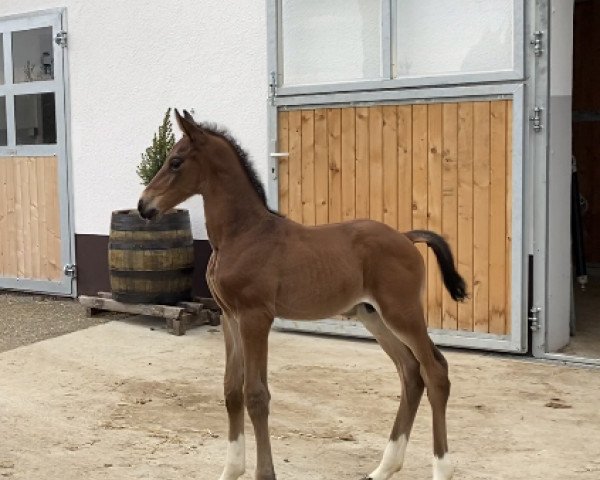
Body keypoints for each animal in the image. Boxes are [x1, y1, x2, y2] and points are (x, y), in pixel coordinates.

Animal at [138, 109, 466, 480]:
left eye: (176, 161)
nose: (143, 206)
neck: (243, 234)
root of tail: (407, 237)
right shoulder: (229, 317)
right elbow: (231, 390)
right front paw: (231, 470)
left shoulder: (256, 317)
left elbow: (256, 395)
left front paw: (264, 473)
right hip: (373, 315)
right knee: (411, 373)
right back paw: (384, 468)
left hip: (402, 312)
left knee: (435, 371)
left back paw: (440, 469)